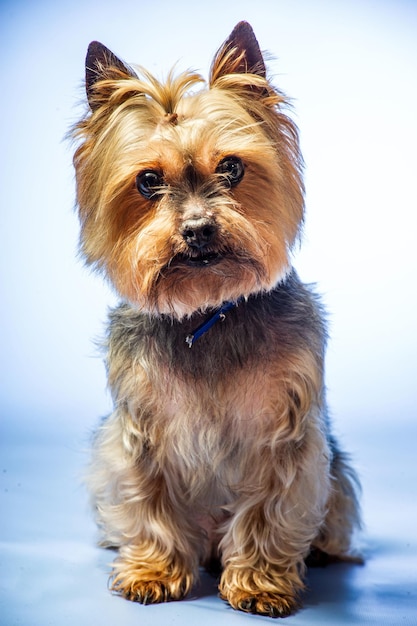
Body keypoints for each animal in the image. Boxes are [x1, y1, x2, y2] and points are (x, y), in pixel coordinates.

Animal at [71, 20, 360, 616]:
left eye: (232, 167)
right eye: (147, 182)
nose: (199, 228)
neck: (206, 313)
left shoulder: (285, 434)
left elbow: (270, 508)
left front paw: (260, 583)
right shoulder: (139, 435)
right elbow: (149, 500)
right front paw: (154, 570)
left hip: (337, 475)